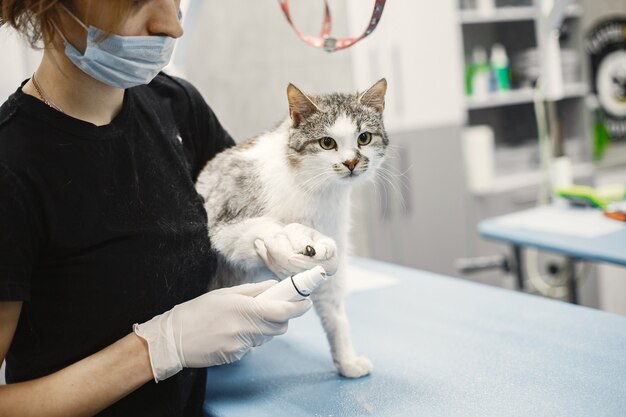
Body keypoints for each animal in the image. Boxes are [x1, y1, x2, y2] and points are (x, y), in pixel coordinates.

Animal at [197, 79, 388, 376]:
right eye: (327, 142)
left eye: (364, 138)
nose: (351, 163)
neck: (314, 188)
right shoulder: (224, 219)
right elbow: (260, 228)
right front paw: (295, 237)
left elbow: (335, 311)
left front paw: (346, 360)